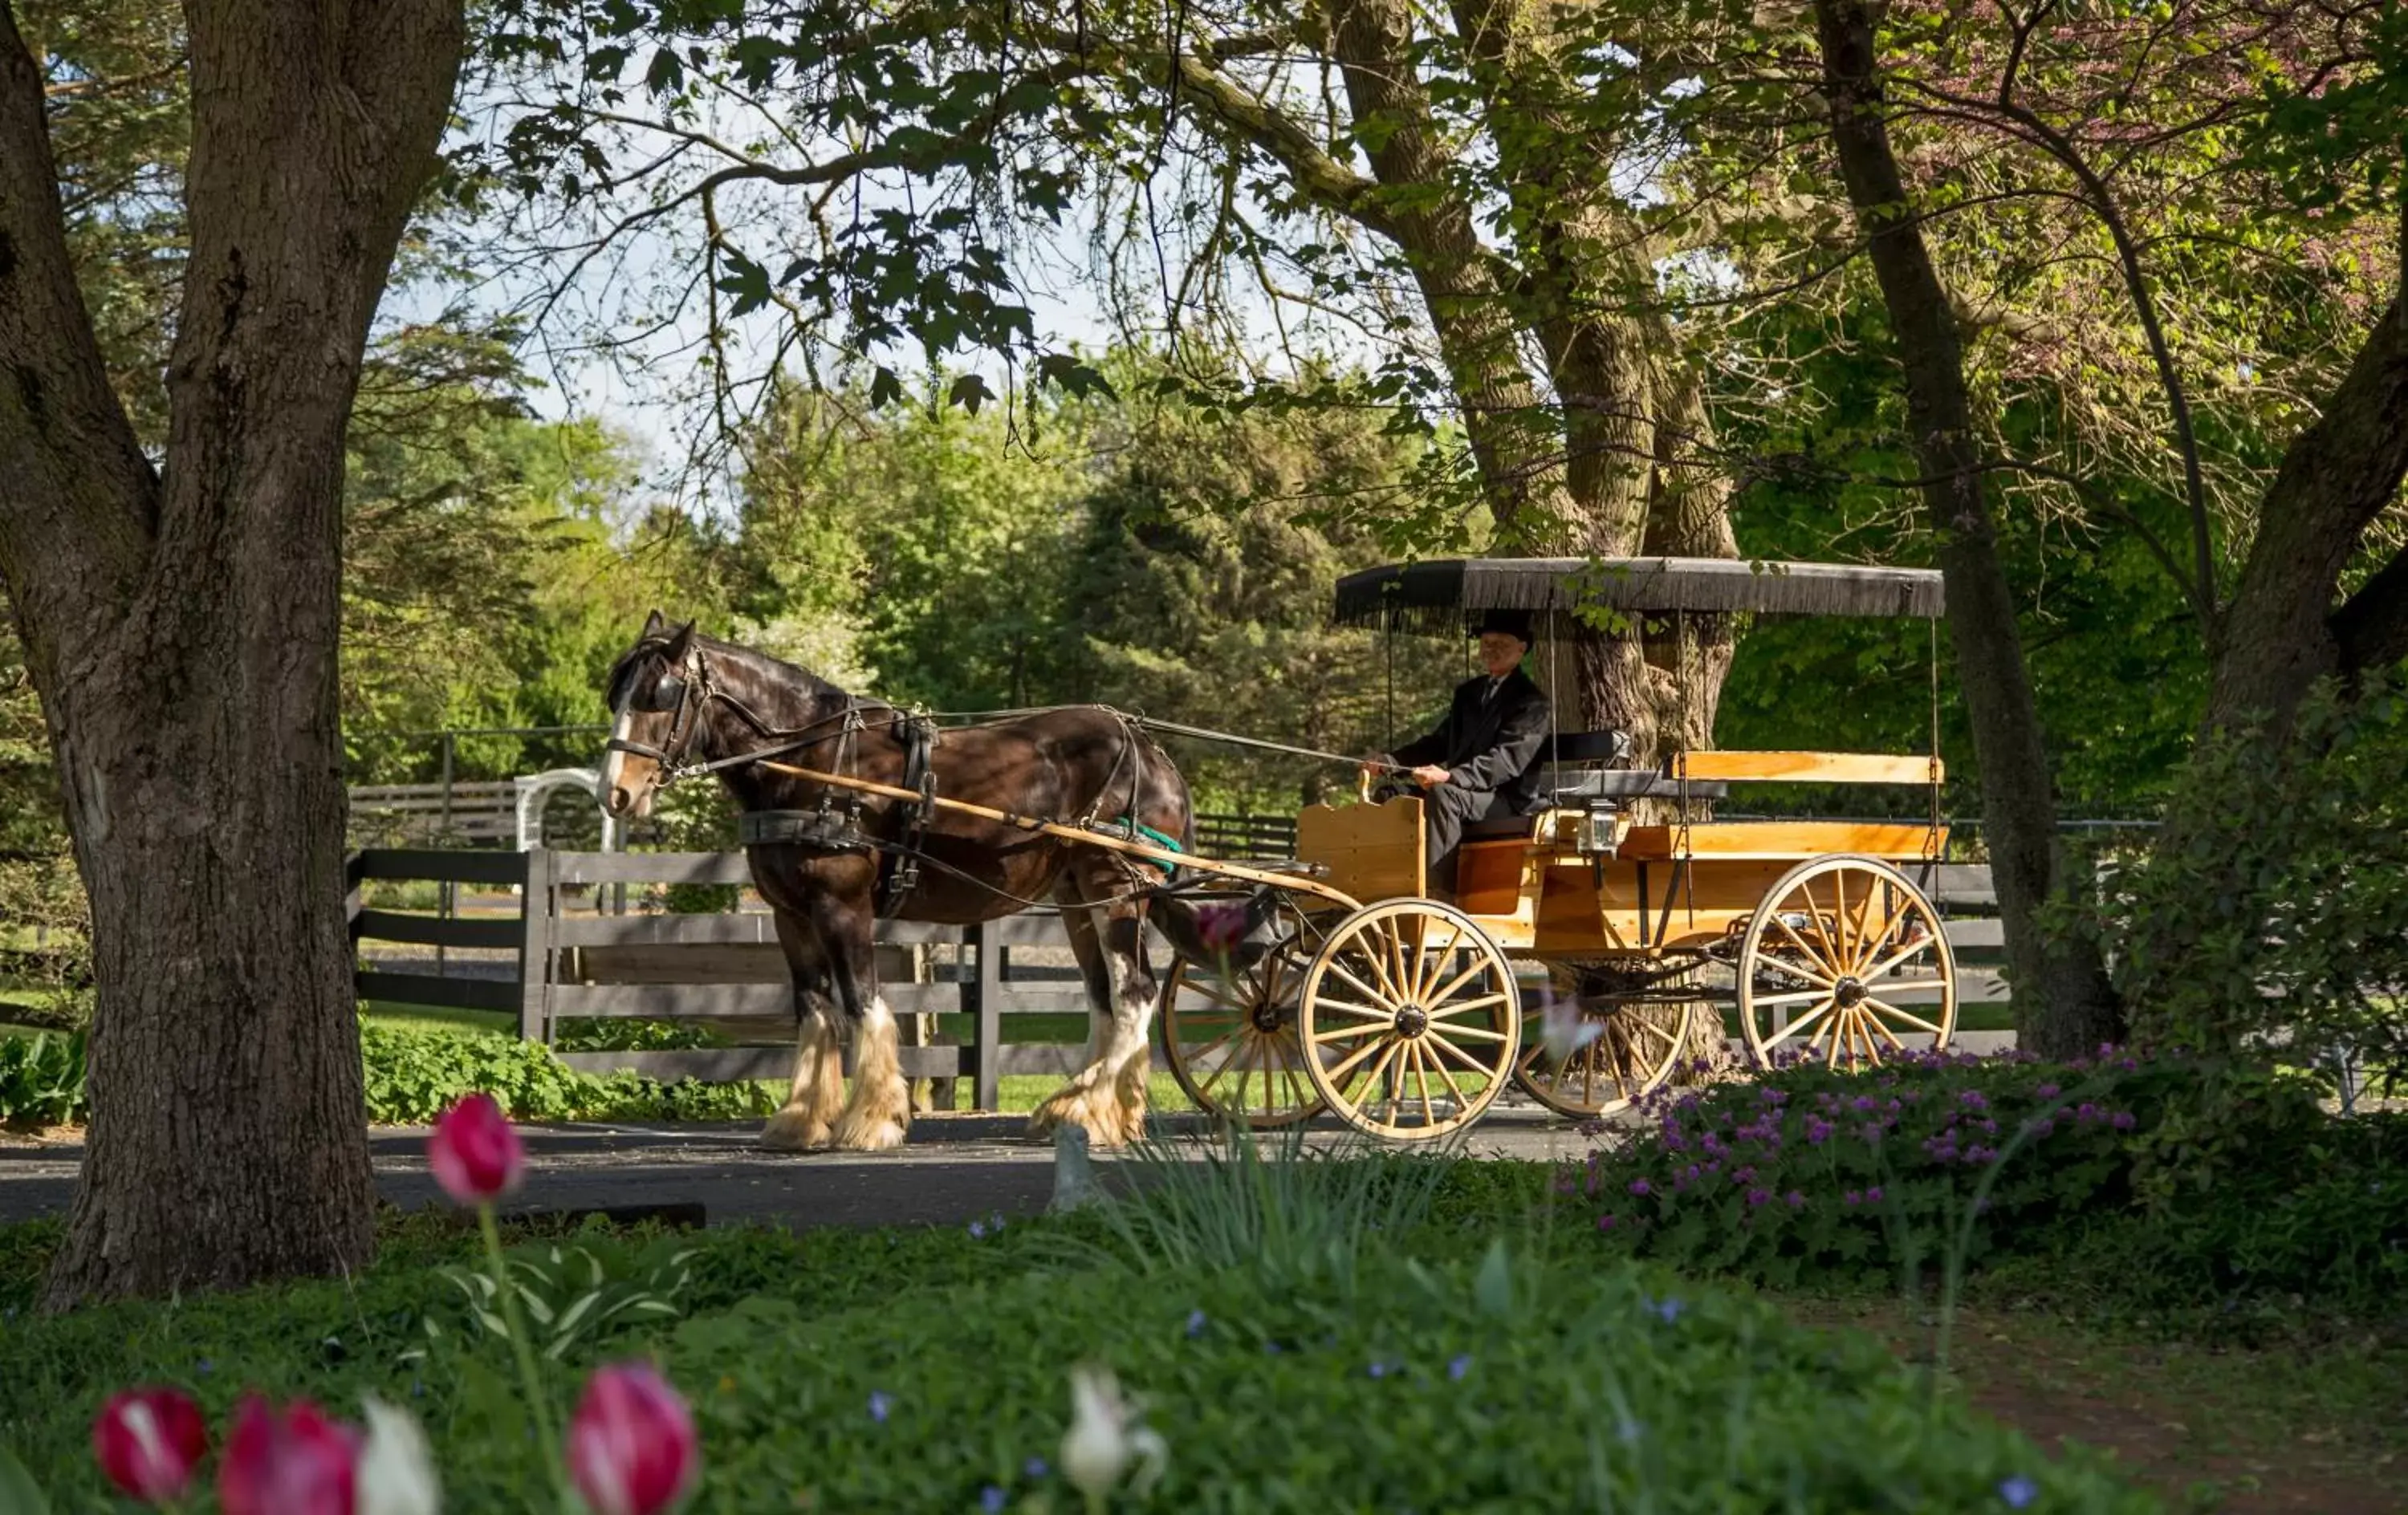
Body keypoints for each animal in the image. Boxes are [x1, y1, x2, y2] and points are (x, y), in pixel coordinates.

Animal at [597, 611, 1199, 1146]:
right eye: (615, 695)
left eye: (661, 695)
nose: (615, 793)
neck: (815, 764)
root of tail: (1150, 751)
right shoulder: (790, 914)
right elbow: (814, 1011)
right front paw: (800, 1121)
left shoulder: (842, 906)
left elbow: (863, 1003)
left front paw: (872, 1121)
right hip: (1077, 897)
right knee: (1104, 999)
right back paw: (1084, 1109)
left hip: (1117, 888)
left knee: (1135, 993)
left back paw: (1090, 1111)